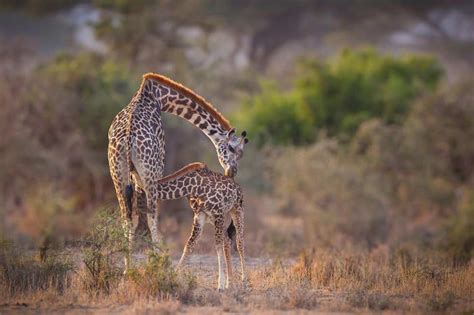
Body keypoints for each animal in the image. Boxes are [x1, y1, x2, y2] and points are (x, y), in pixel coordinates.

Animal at [108, 73, 248, 272]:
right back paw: (157, 263)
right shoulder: (158, 164)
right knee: (152, 215)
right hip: (150, 170)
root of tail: (128, 137)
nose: (232, 171)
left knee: (125, 217)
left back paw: (128, 268)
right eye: (231, 148)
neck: (159, 96)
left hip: (117, 172)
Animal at [155, 163, 244, 292]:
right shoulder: (200, 216)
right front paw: (172, 277)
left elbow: (218, 247)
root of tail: (238, 186)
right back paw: (230, 282)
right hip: (220, 219)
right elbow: (189, 245)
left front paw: (220, 285)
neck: (193, 186)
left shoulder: (218, 213)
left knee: (239, 242)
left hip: (236, 210)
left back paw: (244, 280)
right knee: (227, 240)